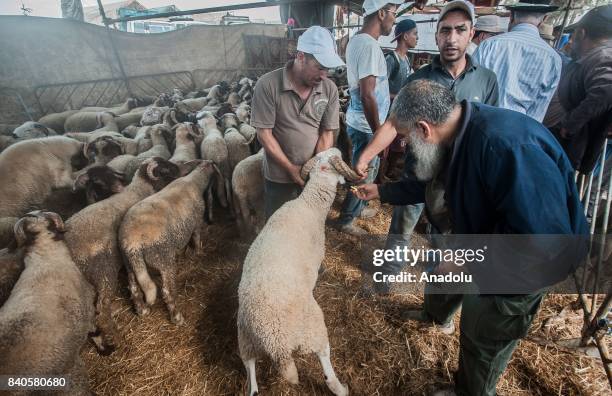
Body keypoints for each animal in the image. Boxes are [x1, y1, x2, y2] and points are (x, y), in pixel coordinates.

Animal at [67, 156, 183, 354]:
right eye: (165, 169)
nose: (179, 169)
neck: (141, 187)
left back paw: (103, 346)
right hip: (103, 273)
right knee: (102, 312)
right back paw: (118, 339)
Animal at [118, 159, 219, 324]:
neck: (194, 181)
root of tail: (133, 245)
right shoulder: (197, 222)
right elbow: (197, 237)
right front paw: (198, 252)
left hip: (129, 265)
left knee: (133, 288)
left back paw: (142, 311)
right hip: (163, 259)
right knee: (167, 291)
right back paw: (177, 317)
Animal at [237, 148, 356, 396]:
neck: (309, 204)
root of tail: (276, 344)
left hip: (245, 341)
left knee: (251, 378)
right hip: (313, 329)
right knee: (325, 363)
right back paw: (341, 387)